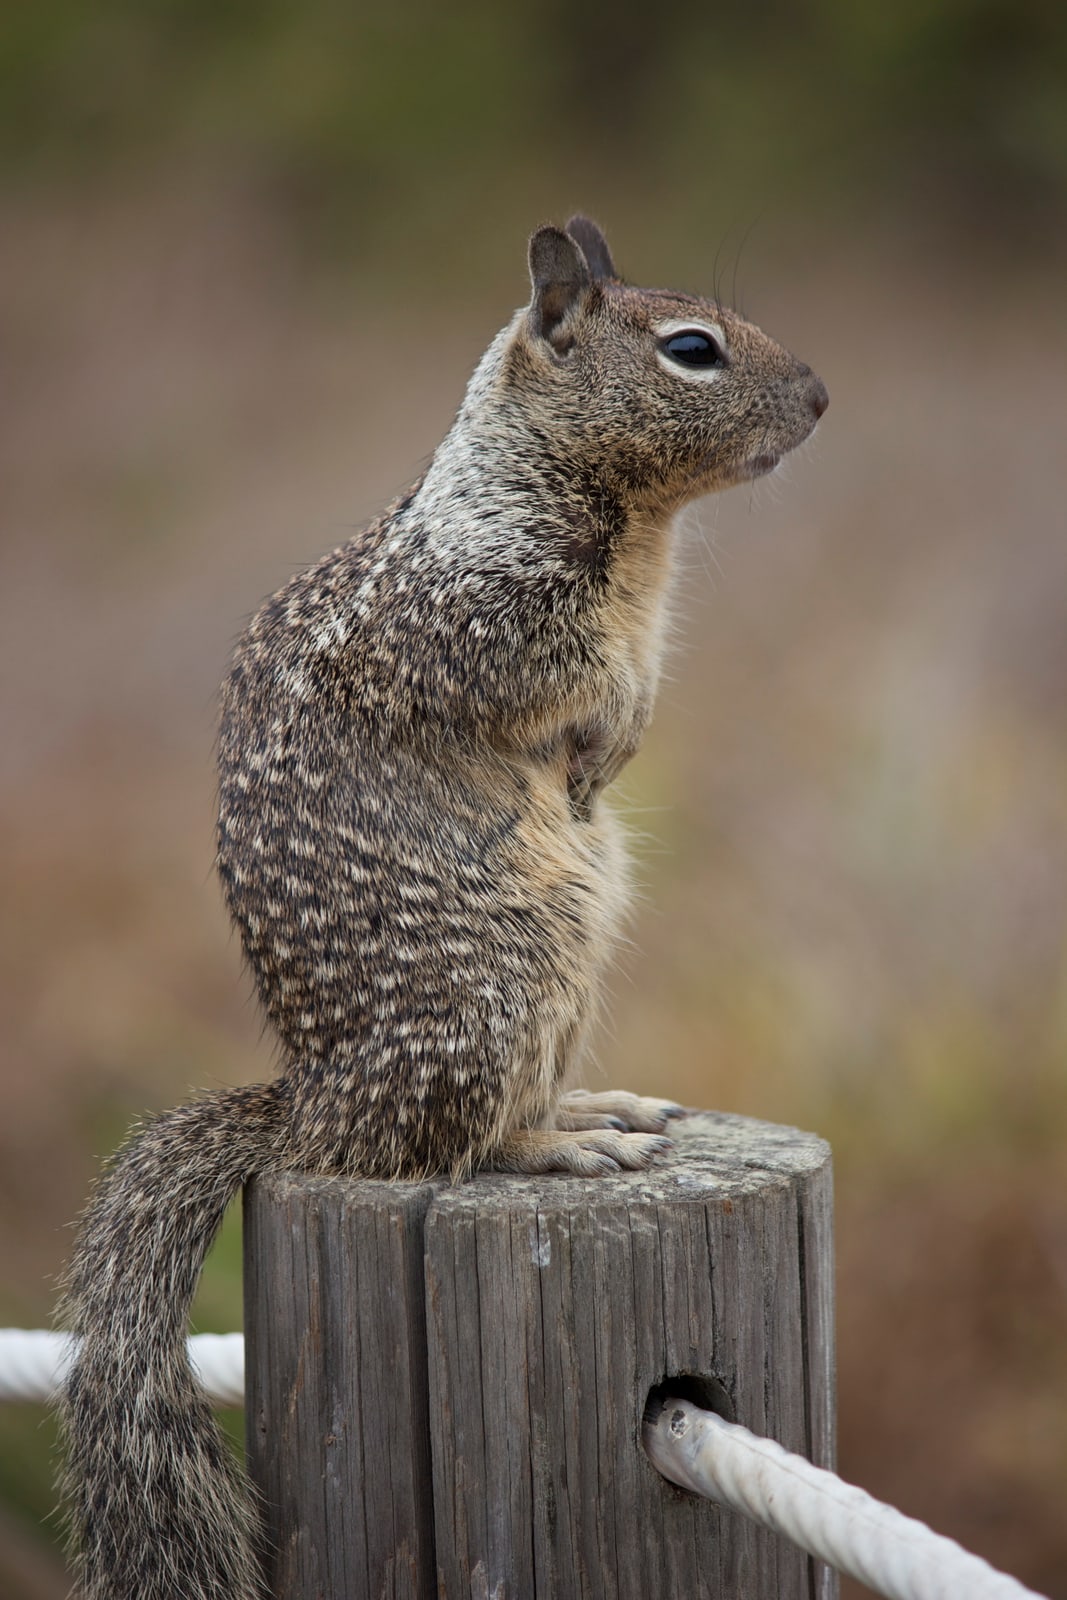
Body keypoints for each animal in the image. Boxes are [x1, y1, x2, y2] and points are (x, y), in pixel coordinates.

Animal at [57, 216, 827, 1600]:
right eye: (690, 349)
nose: (820, 397)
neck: (637, 533)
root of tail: (304, 1104)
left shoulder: (635, 624)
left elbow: (635, 684)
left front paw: (616, 745)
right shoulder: (482, 622)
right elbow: (563, 677)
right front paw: (602, 731)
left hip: (567, 964)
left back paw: (595, 1109)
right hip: (497, 992)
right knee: (445, 1147)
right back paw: (559, 1147)